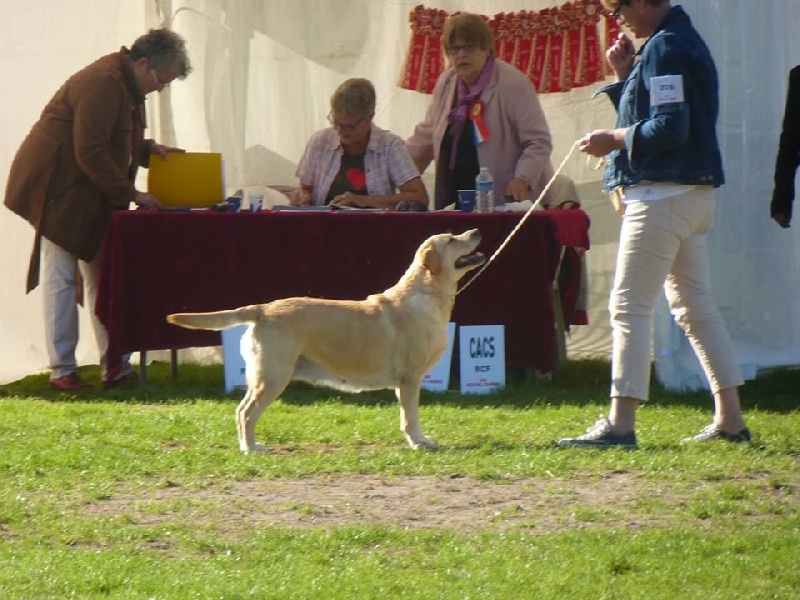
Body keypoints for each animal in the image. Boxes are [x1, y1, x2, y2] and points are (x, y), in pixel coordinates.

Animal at [166, 230, 484, 454]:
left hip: (267, 376)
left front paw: (421, 440)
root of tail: (263, 308)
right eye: (452, 239)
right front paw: (418, 443)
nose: (477, 230)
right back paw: (251, 448)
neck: (428, 296)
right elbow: (411, 417)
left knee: (242, 410)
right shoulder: (409, 379)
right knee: (245, 412)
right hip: (272, 376)